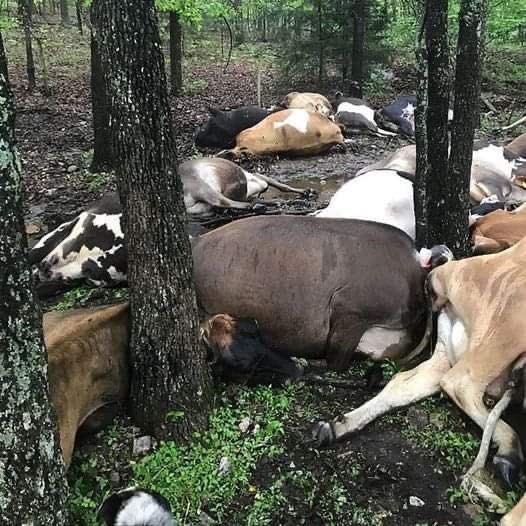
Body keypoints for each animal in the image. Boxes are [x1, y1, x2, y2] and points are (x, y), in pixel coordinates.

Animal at [316, 237, 526, 488]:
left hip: (447, 355)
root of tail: (442, 274)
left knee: (403, 383)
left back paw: (335, 427)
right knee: (460, 383)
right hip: (504, 329)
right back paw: (509, 454)